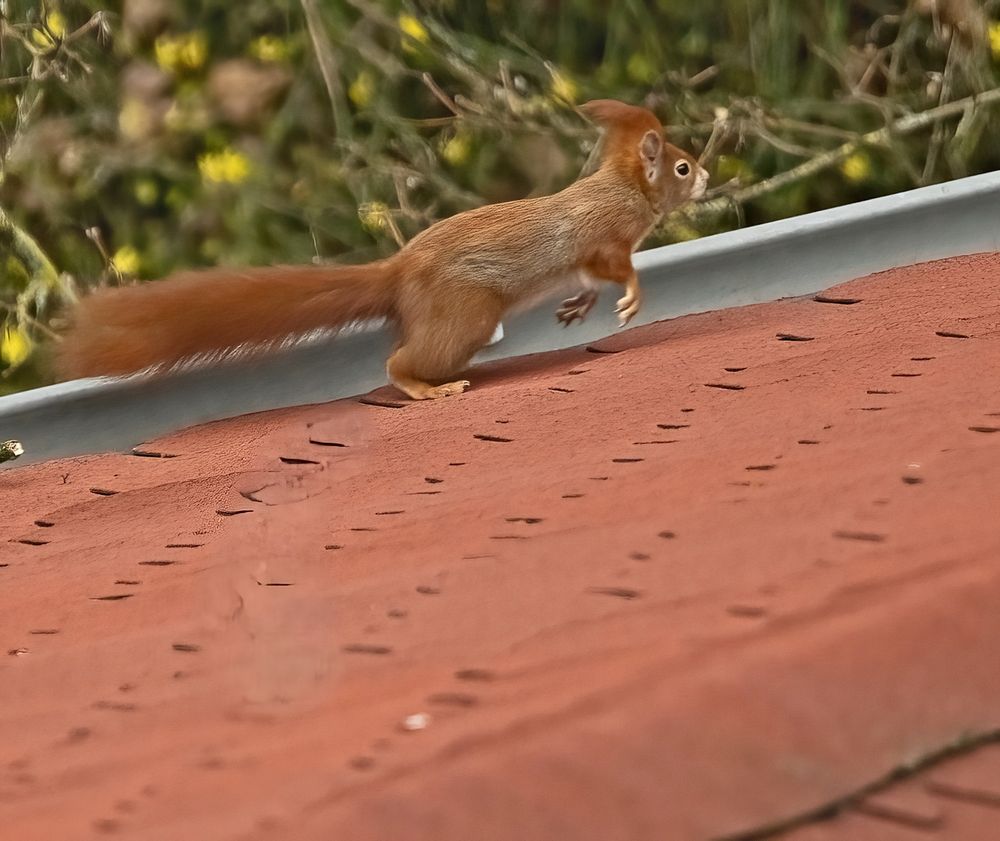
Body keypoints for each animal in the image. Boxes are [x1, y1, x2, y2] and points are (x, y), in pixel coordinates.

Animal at [58, 100, 708, 398]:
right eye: (680, 166)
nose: (705, 177)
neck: (624, 187)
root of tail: (399, 273)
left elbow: (588, 282)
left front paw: (579, 307)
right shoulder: (604, 236)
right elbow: (616, 268)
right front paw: (631, 298)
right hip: (465, 317)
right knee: (400, 363)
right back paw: (427, 389)